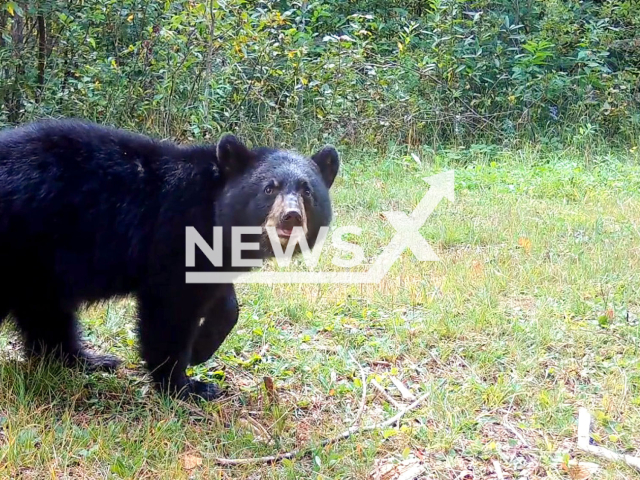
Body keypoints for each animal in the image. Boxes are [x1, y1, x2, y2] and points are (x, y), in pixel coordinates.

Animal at [0, 119, 340, 402]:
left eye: (307, 191)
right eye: (269, 188)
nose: (291, 216)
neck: (212, 212)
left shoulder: (212, 255)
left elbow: (221, 298)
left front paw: (202, 348)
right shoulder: (173, 236)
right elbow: (171, 311)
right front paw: (186, 385)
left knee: (46, 312)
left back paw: (87, 359)